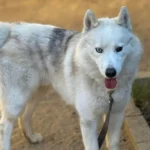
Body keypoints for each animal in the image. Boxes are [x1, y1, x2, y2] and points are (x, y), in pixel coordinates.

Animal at [0, 5, 142, 150]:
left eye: (119, 49)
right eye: (99, 50)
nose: (110, 72)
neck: (107, 92)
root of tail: (11, 29)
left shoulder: (115, 115)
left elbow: (113, 143)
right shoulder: (89, 120)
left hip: (37, 93)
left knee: (24, 116)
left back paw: (32, 138)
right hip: (16, 100)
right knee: (4, 126)